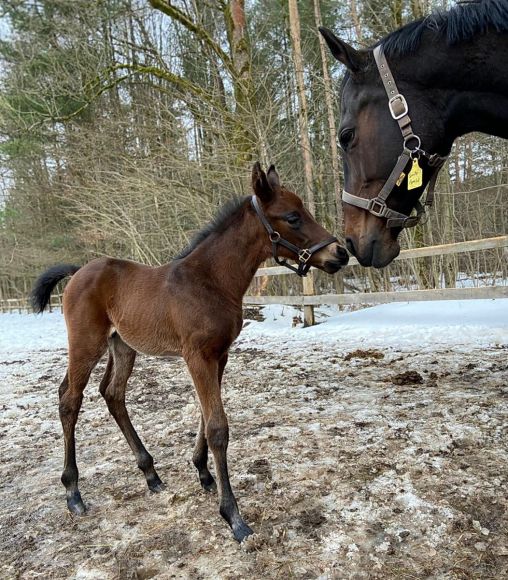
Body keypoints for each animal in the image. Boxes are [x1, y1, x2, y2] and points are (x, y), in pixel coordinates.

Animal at [30, 164, 350, 544]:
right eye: (292, 217)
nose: (340, 253)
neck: (210, 281)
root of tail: (78, 271)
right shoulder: (197, 356)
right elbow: (217, 427)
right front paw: (233, 517)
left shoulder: (219, 355)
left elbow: (204, 414)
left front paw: (203, 473)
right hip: (85, 343)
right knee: (70, 399)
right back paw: (73, 492)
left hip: (122, 346)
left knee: (112, 393)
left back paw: (150, 474)